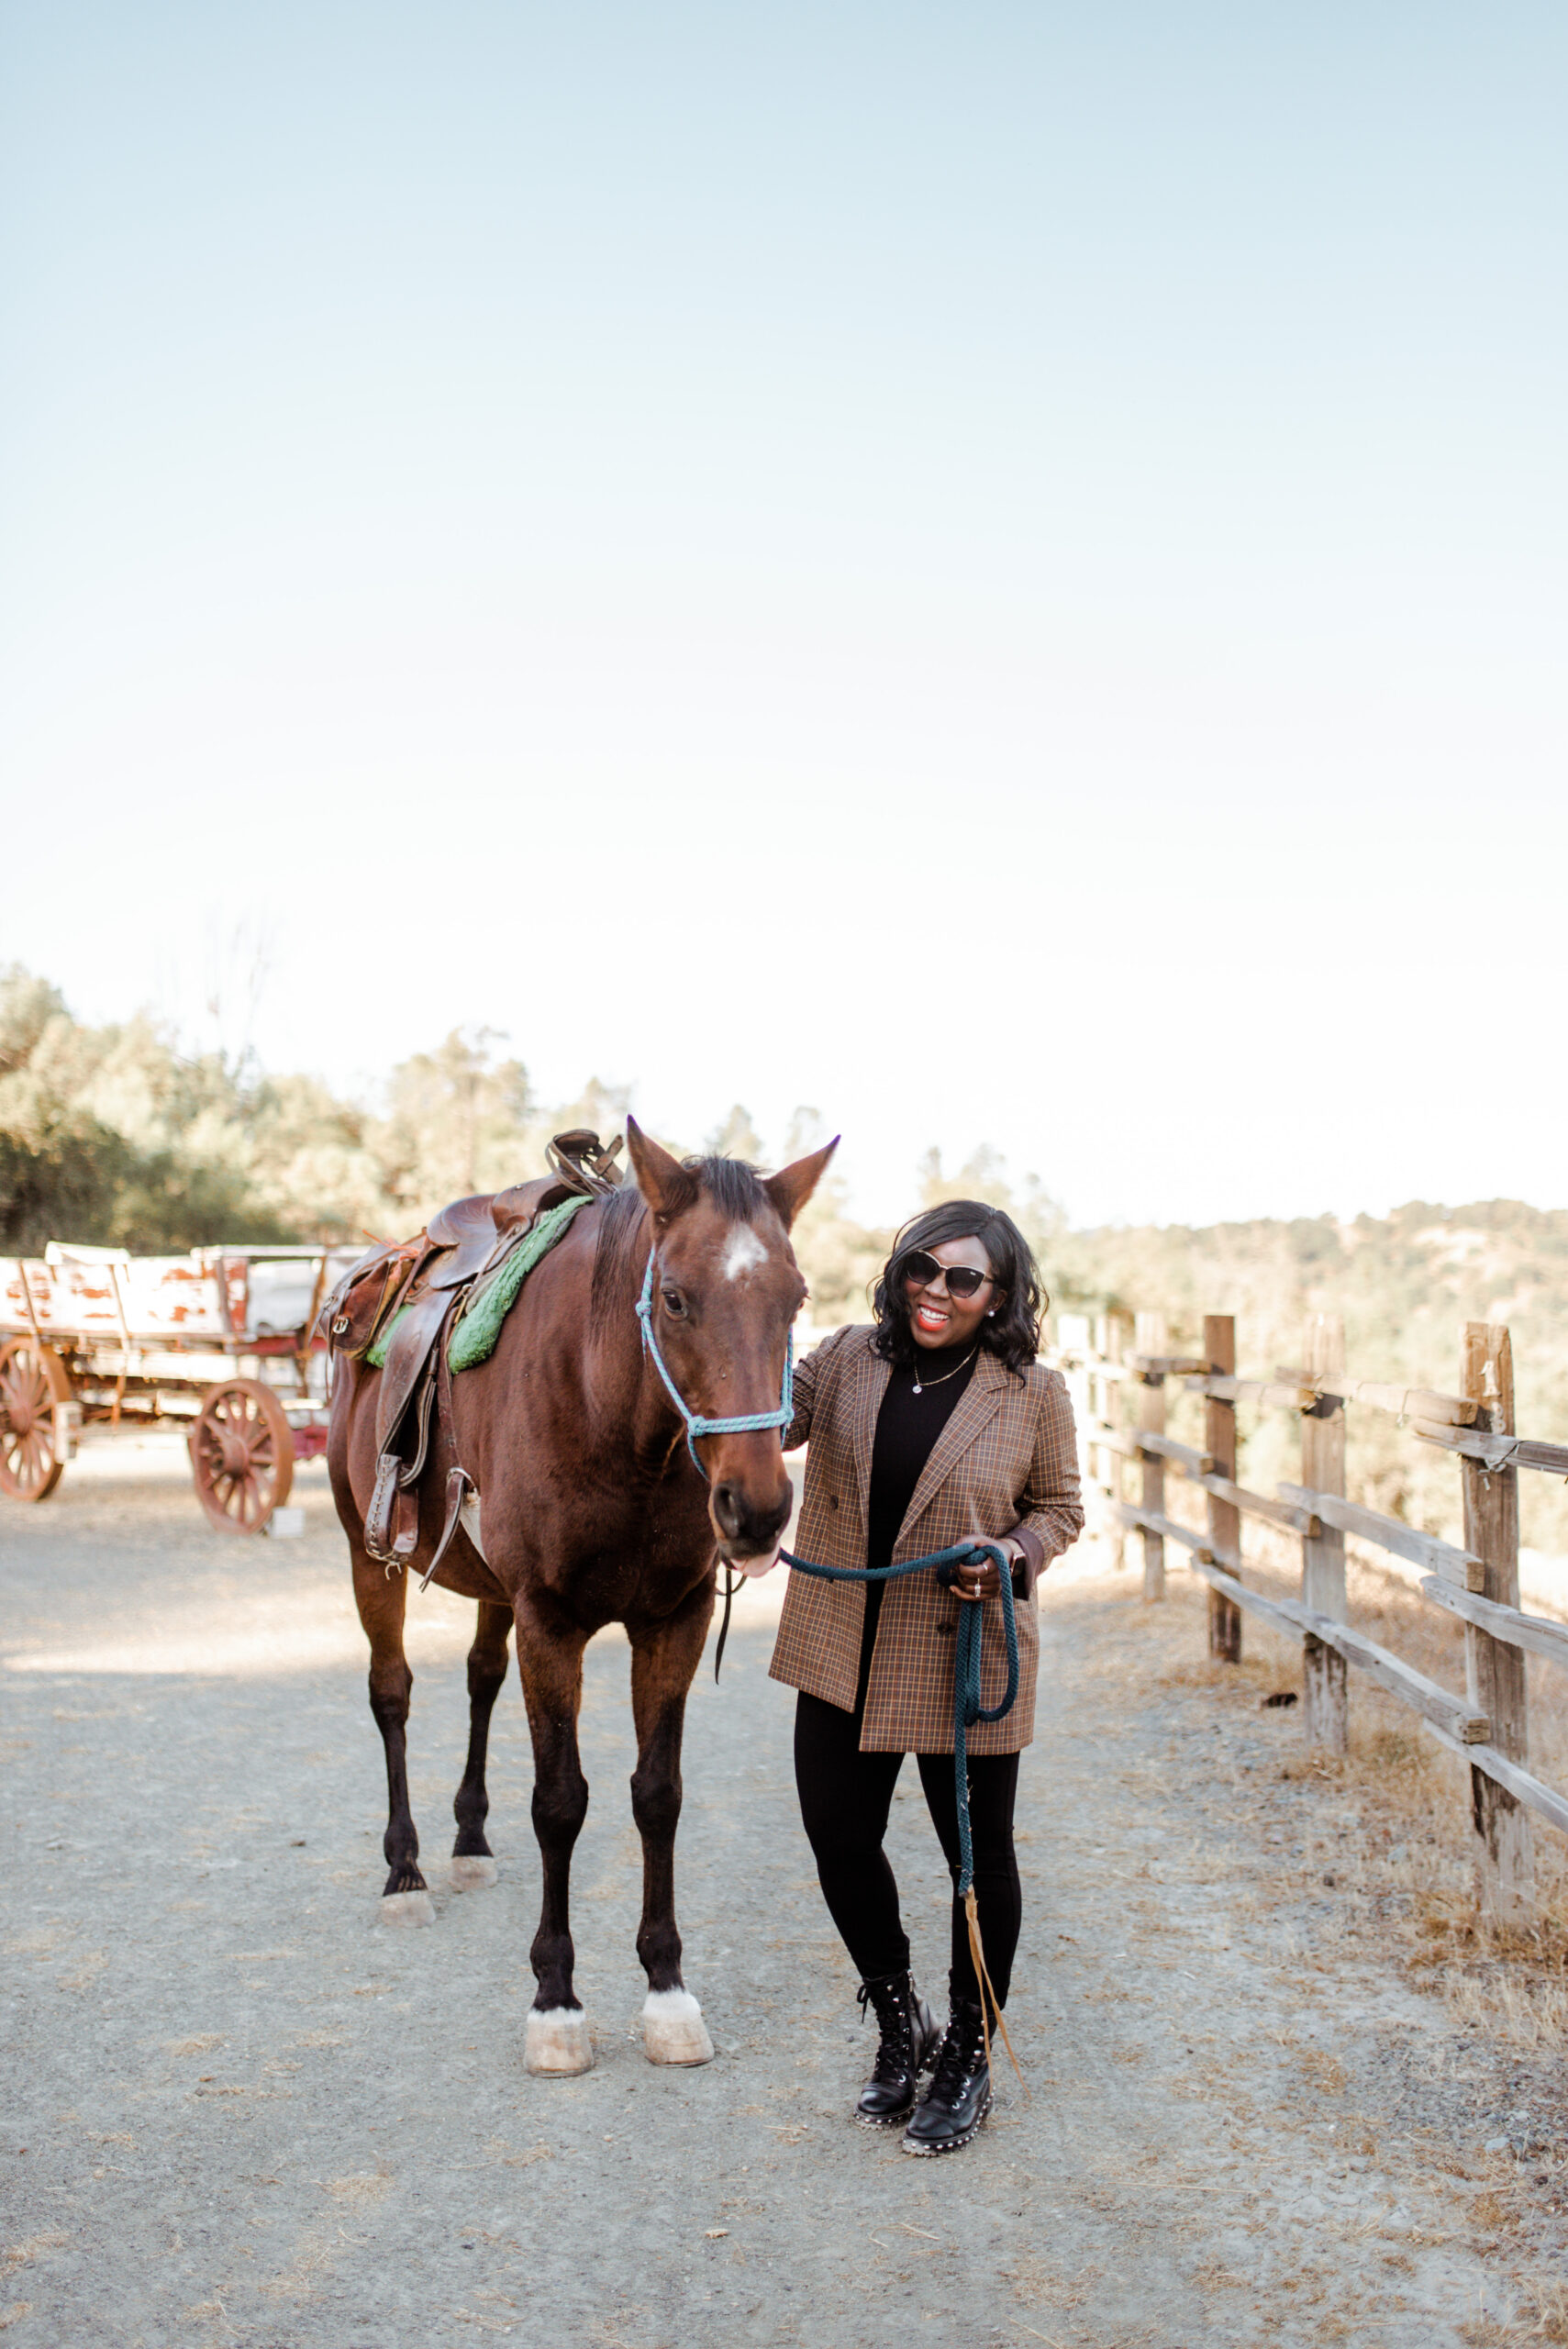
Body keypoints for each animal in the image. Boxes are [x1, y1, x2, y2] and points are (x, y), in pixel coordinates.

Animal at [328, 1118, 830, 2076]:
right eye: (673, 1299)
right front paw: (556, 2003)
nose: (754, 1509)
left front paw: (667, 1993)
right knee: (391, 1696)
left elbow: (657, 1795)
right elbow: (560, 1803)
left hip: (490, 1591)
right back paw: (405, 1871)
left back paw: (470, 1841)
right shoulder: (550, 1621)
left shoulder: (671, 1621)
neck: (609, 1413)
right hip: (369, 1558)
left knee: (480, 1680)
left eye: (796, 1299)